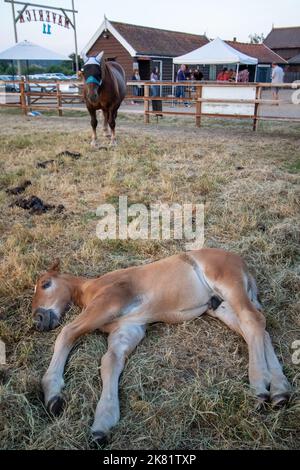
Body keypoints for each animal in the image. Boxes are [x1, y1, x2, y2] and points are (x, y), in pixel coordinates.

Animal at [32, 250, 290, 444]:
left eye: (45, 284)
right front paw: (102, 423)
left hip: (230, 286)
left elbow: (67, 332)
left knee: (253, 320)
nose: (39, 320)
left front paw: (52, 393)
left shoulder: (107, 303)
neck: (92, 288)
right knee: (257, 330)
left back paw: (260, 386)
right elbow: (110, 362)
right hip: (219, 306)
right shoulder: (129, 328)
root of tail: (242, 263)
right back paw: (280, 389)